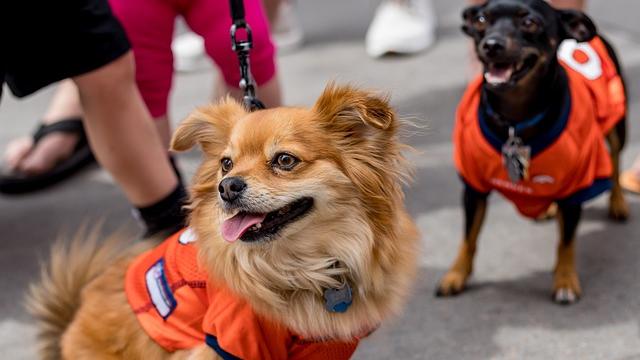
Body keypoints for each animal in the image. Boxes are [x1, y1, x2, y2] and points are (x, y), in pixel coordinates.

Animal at [28, 85, 420, 360]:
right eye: (226, 164)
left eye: (285, 160)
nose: (227, 186)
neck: (303, 267)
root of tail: (69, 322)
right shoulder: (229, 339)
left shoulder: (323, 347)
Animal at [438, 0, 628, 304]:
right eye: (481, 20)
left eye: (530, 22)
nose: (492, 44)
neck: (515, 120)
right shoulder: (473, 188)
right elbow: (469, 237)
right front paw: (456, 275)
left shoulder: (575, 189)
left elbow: (566, 242)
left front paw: (565, 280)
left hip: (616, 123)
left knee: (616, 161)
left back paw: (618, 202)